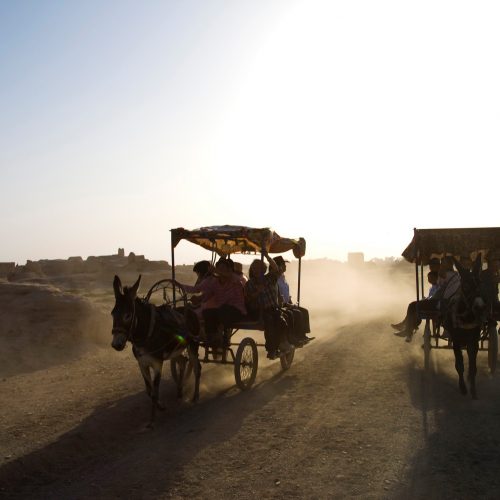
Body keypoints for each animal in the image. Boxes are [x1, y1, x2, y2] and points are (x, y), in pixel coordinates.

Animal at [111, 274, 201, 426]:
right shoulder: (142, 364)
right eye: (112, 314)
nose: (116, 345)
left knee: (197, 368)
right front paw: (161, 406)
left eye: (128, 315)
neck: (147, 333)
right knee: (183, 362)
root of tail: (190, 309)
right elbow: (149, 390)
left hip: (193, 345)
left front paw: (152, 420)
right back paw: (179, 391)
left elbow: (154, 391)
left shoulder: (157, 363)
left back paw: (195, 397)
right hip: (176, 349)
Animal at [444, 256, 486, 400]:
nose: (480, 307)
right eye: (466, 286)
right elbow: (459, 365)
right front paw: (462, 388)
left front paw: (473, 389)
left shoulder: (474, 341)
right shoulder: (456, 341)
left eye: (480, 283)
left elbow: (473, 367)